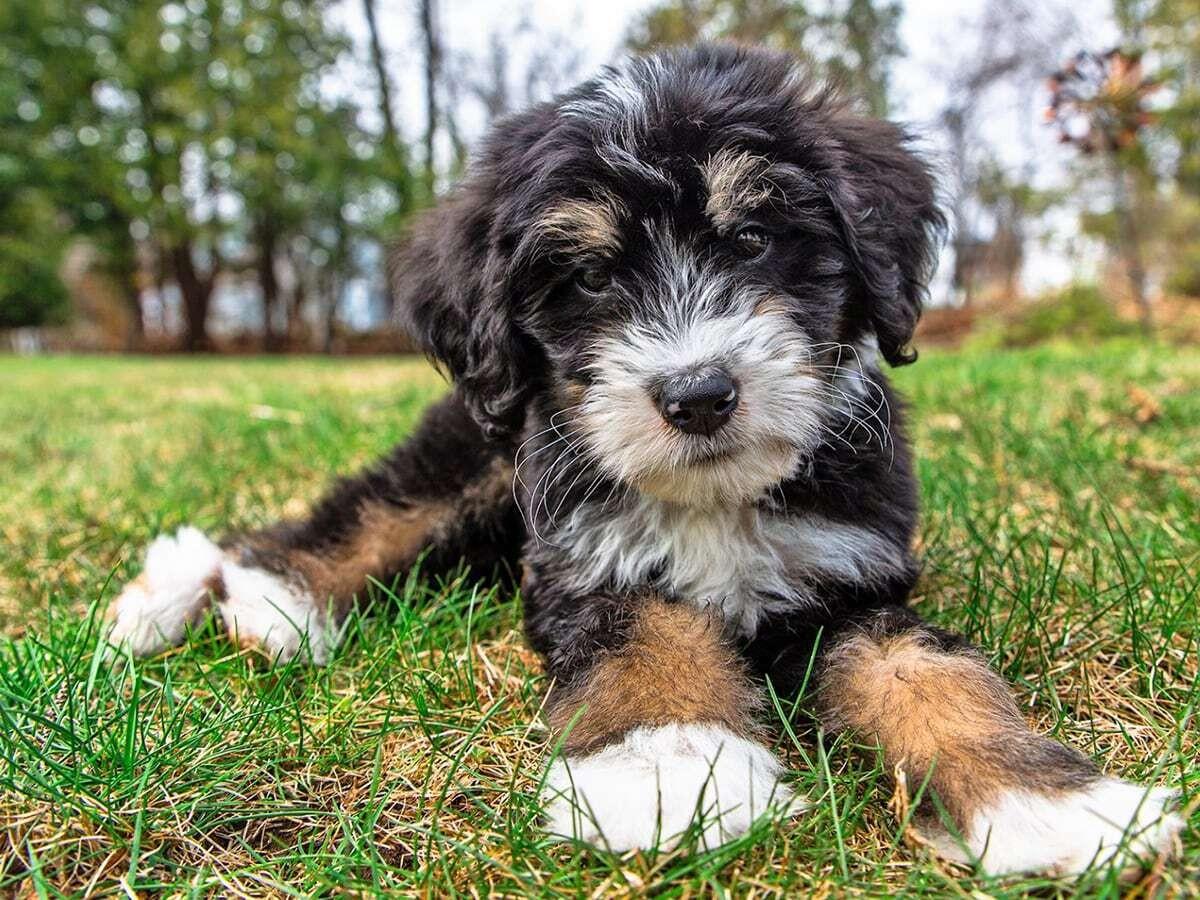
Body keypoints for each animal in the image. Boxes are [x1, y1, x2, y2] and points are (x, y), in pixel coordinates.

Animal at [108, 44, 1185, 883]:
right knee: (368, 511)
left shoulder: (852, 577)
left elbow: (934, 675)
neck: (715, 497)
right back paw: (241, 593)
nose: (698, 394)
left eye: (752, 239)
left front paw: (1050, 802)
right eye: (588, 277)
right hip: (483, 448)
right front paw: (674, 765)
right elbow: (650, 637)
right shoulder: (589, 561)